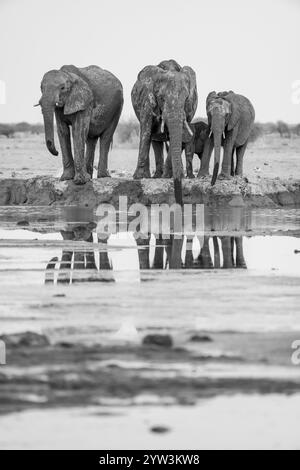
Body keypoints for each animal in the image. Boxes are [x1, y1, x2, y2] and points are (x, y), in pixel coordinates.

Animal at [131, 58, 197, 204]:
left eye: (186, 98)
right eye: (161, 98)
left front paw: (168, 176)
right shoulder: (146, 99)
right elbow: (146, 129)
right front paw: (138, 177)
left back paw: (161, 176)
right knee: (152, 137)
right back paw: (153, 176)